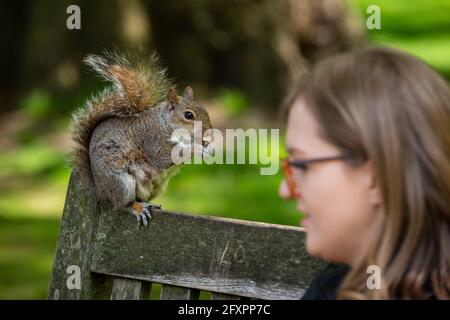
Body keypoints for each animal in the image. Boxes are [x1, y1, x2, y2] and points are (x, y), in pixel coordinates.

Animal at [70, 50, 213, 228]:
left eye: (205, 110)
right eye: (188, 115)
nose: (209, 133)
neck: (165, 123)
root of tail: (100, 190)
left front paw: (207, 148)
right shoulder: (151, 140)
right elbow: (165, 158)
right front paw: (197, 147)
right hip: (121, 183)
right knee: (123, 204)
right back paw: (138, 208)